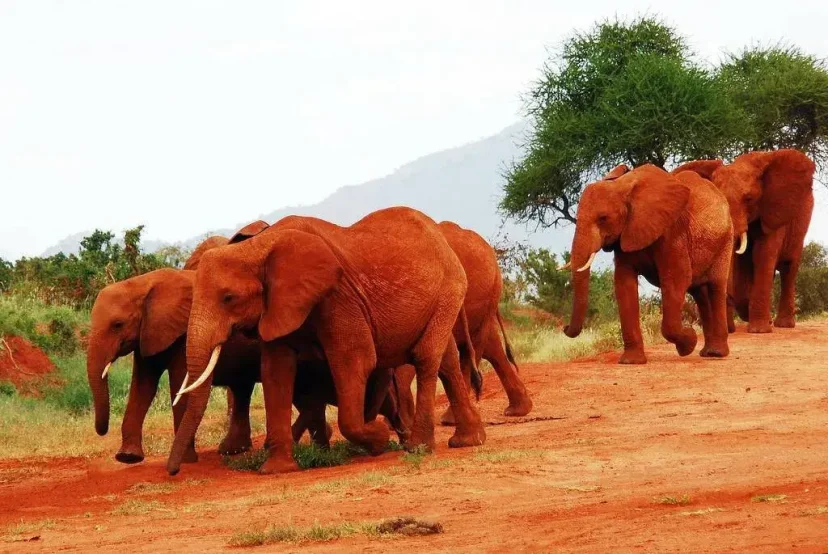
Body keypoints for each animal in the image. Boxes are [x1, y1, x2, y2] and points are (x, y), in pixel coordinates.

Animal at [167, 207, 486, 474]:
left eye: (228, 298)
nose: (174, 471)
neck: (259, 247)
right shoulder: (278, 305)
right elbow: (276, 372)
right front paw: (277, 470)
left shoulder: (338, 297)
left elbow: (355, 360)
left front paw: (378, 439)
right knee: (446, 362)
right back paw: (468, 441)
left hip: (449, 289)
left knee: (426, 357)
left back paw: (418, 447)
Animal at [568, 164, 736, 362]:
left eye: (603, 218)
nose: (564, 328)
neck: (623, 187)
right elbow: (624, 285)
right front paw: (631, 362)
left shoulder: (672, 232)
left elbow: (676, 279)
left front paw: (689, 342)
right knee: (699, 292)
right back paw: (706, 352)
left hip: (725, 239)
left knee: (715, 286)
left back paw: (716, 353)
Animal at [672, 148, 816, 332]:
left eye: (749, 199)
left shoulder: (772, 212)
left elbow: (763, 255)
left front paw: (759, 331)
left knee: (788, 268)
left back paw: (783, 325)